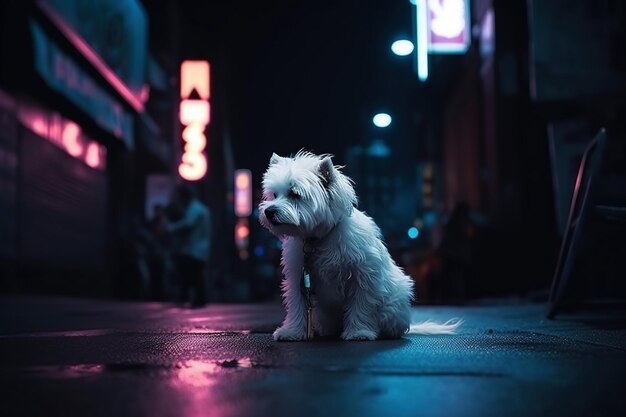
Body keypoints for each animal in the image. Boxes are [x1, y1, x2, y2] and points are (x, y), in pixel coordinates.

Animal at [258, 151, 458, 340]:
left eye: (294, 194)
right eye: (274, 195)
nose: (269, 211)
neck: (319, 239)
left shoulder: (364, 276)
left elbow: (361, 306)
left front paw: (359, 332)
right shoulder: (298, 278)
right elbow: (297, 307)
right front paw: (292, 332)